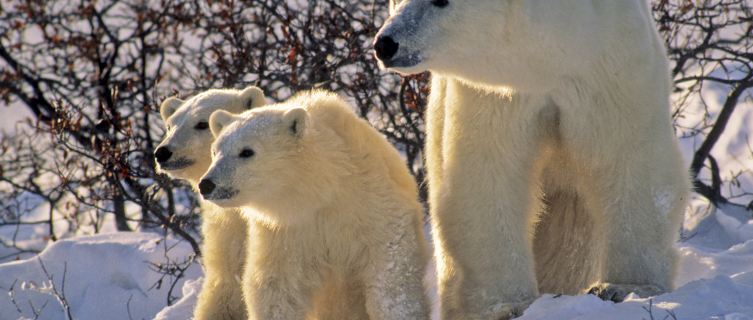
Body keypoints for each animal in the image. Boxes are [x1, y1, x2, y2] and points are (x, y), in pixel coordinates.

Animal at [200, 90, 432, 320]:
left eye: (247, 151)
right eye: (215, 151)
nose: (207, 184)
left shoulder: (372, 206)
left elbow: (391, 272)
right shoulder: (285, 233)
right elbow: (278, 287)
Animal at [374, 1, 692, 318]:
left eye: (441, 2)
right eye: (395, 0)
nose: (385, 44)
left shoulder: (612, 66)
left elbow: (630, 161)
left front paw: (623, 287)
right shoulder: (493, 95)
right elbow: (487, 174)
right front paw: (507, 305)